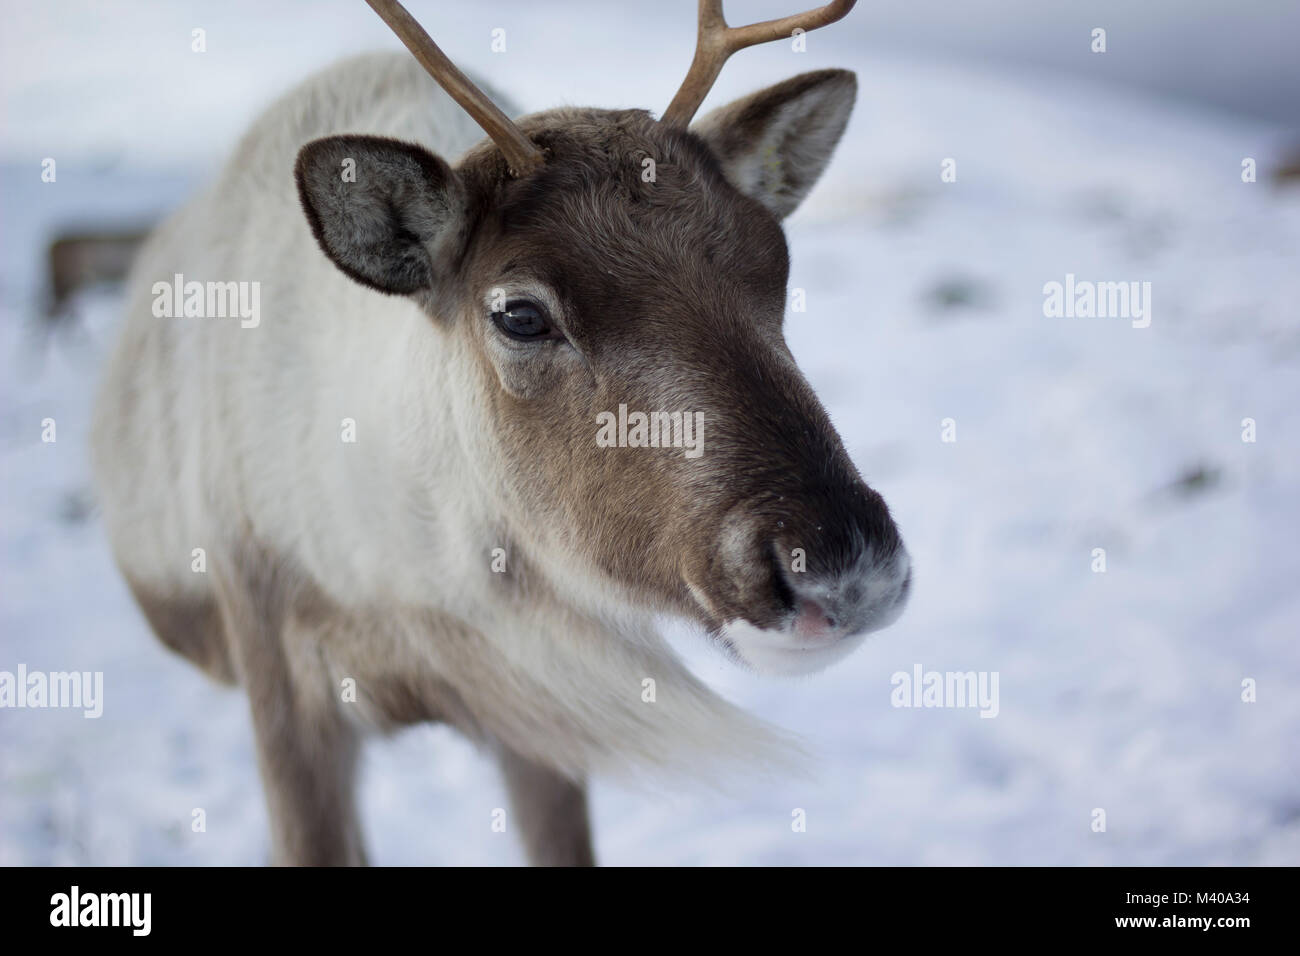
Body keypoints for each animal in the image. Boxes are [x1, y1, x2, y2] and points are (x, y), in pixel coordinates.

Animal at [90, 0, 911, 866]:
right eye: (519, 312)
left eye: (777, 265)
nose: (844, 563)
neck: (406, 583)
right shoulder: (277, 673)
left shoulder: (541, 705)